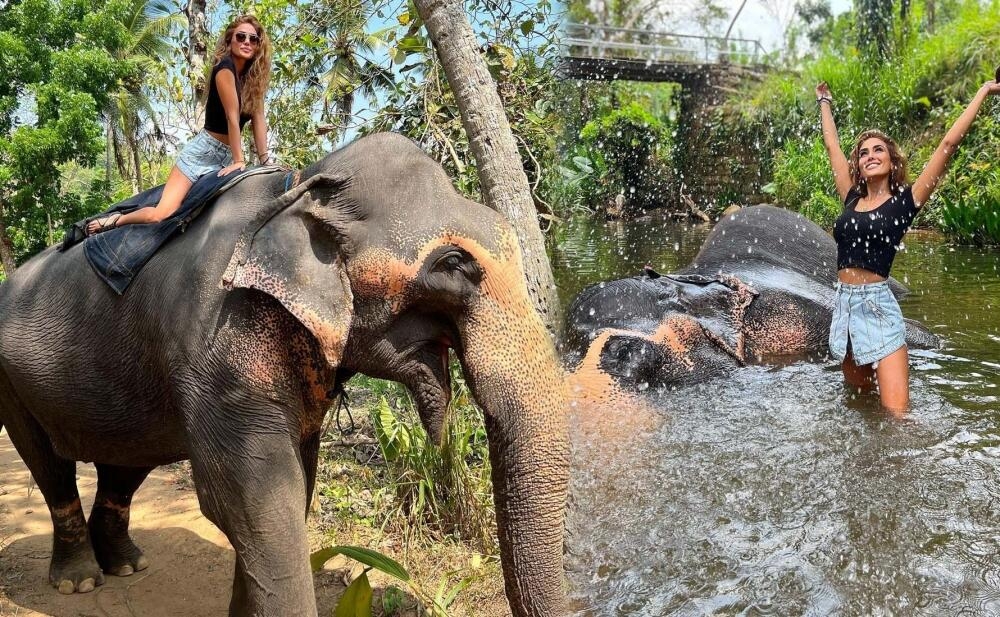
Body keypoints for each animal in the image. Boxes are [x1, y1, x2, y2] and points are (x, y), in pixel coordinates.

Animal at [0, 134, 568, 616]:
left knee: (125, 461)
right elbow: (250, 498)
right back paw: (78, 581)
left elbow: (296, 486)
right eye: (452, 263)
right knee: (50, 466)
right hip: (10, 382)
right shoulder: (219, 339)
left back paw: (126, 565)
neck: (299, 184)